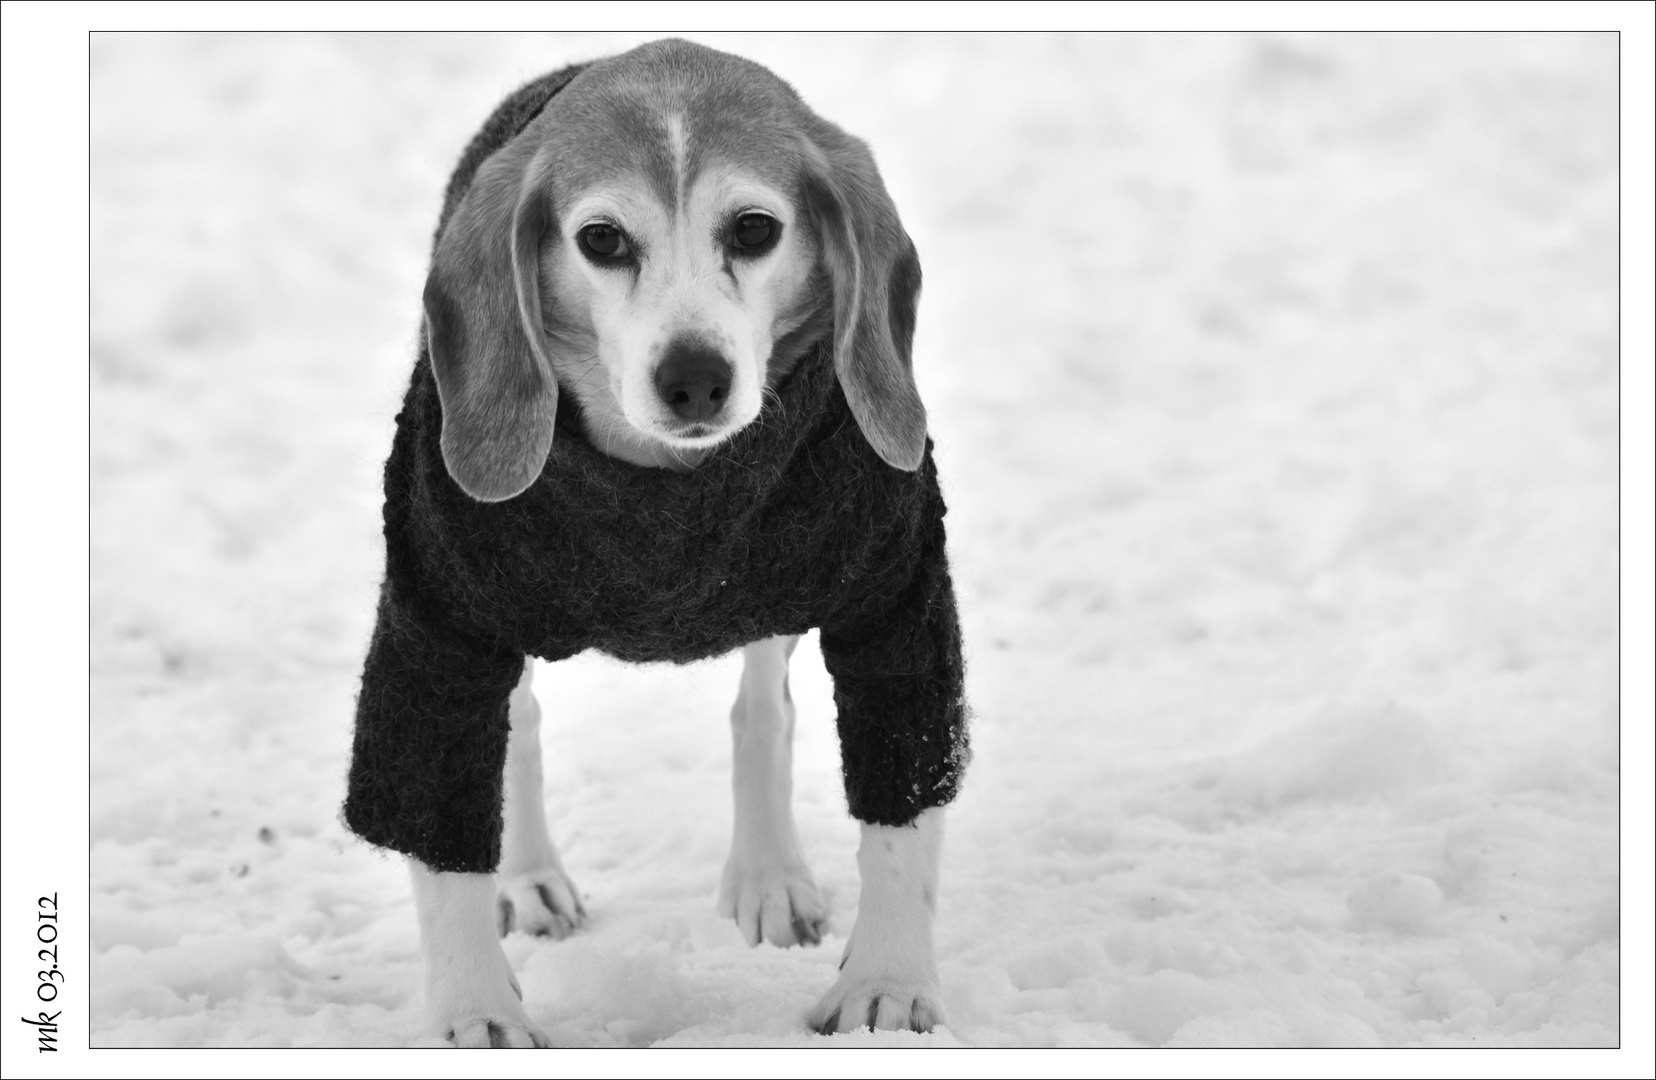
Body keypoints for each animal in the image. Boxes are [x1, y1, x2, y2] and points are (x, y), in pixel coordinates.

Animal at [346, 42, 967, 1046]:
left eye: (753, 229)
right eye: (602, 240)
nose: (695, 378)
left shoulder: (894, 602)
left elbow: (901, 818)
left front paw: (889, 984)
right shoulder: (440, 632)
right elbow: (439, 831)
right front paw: (475, 1011)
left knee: (763, 708)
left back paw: (767, 876)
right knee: (516, 732)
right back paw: (526, 880)